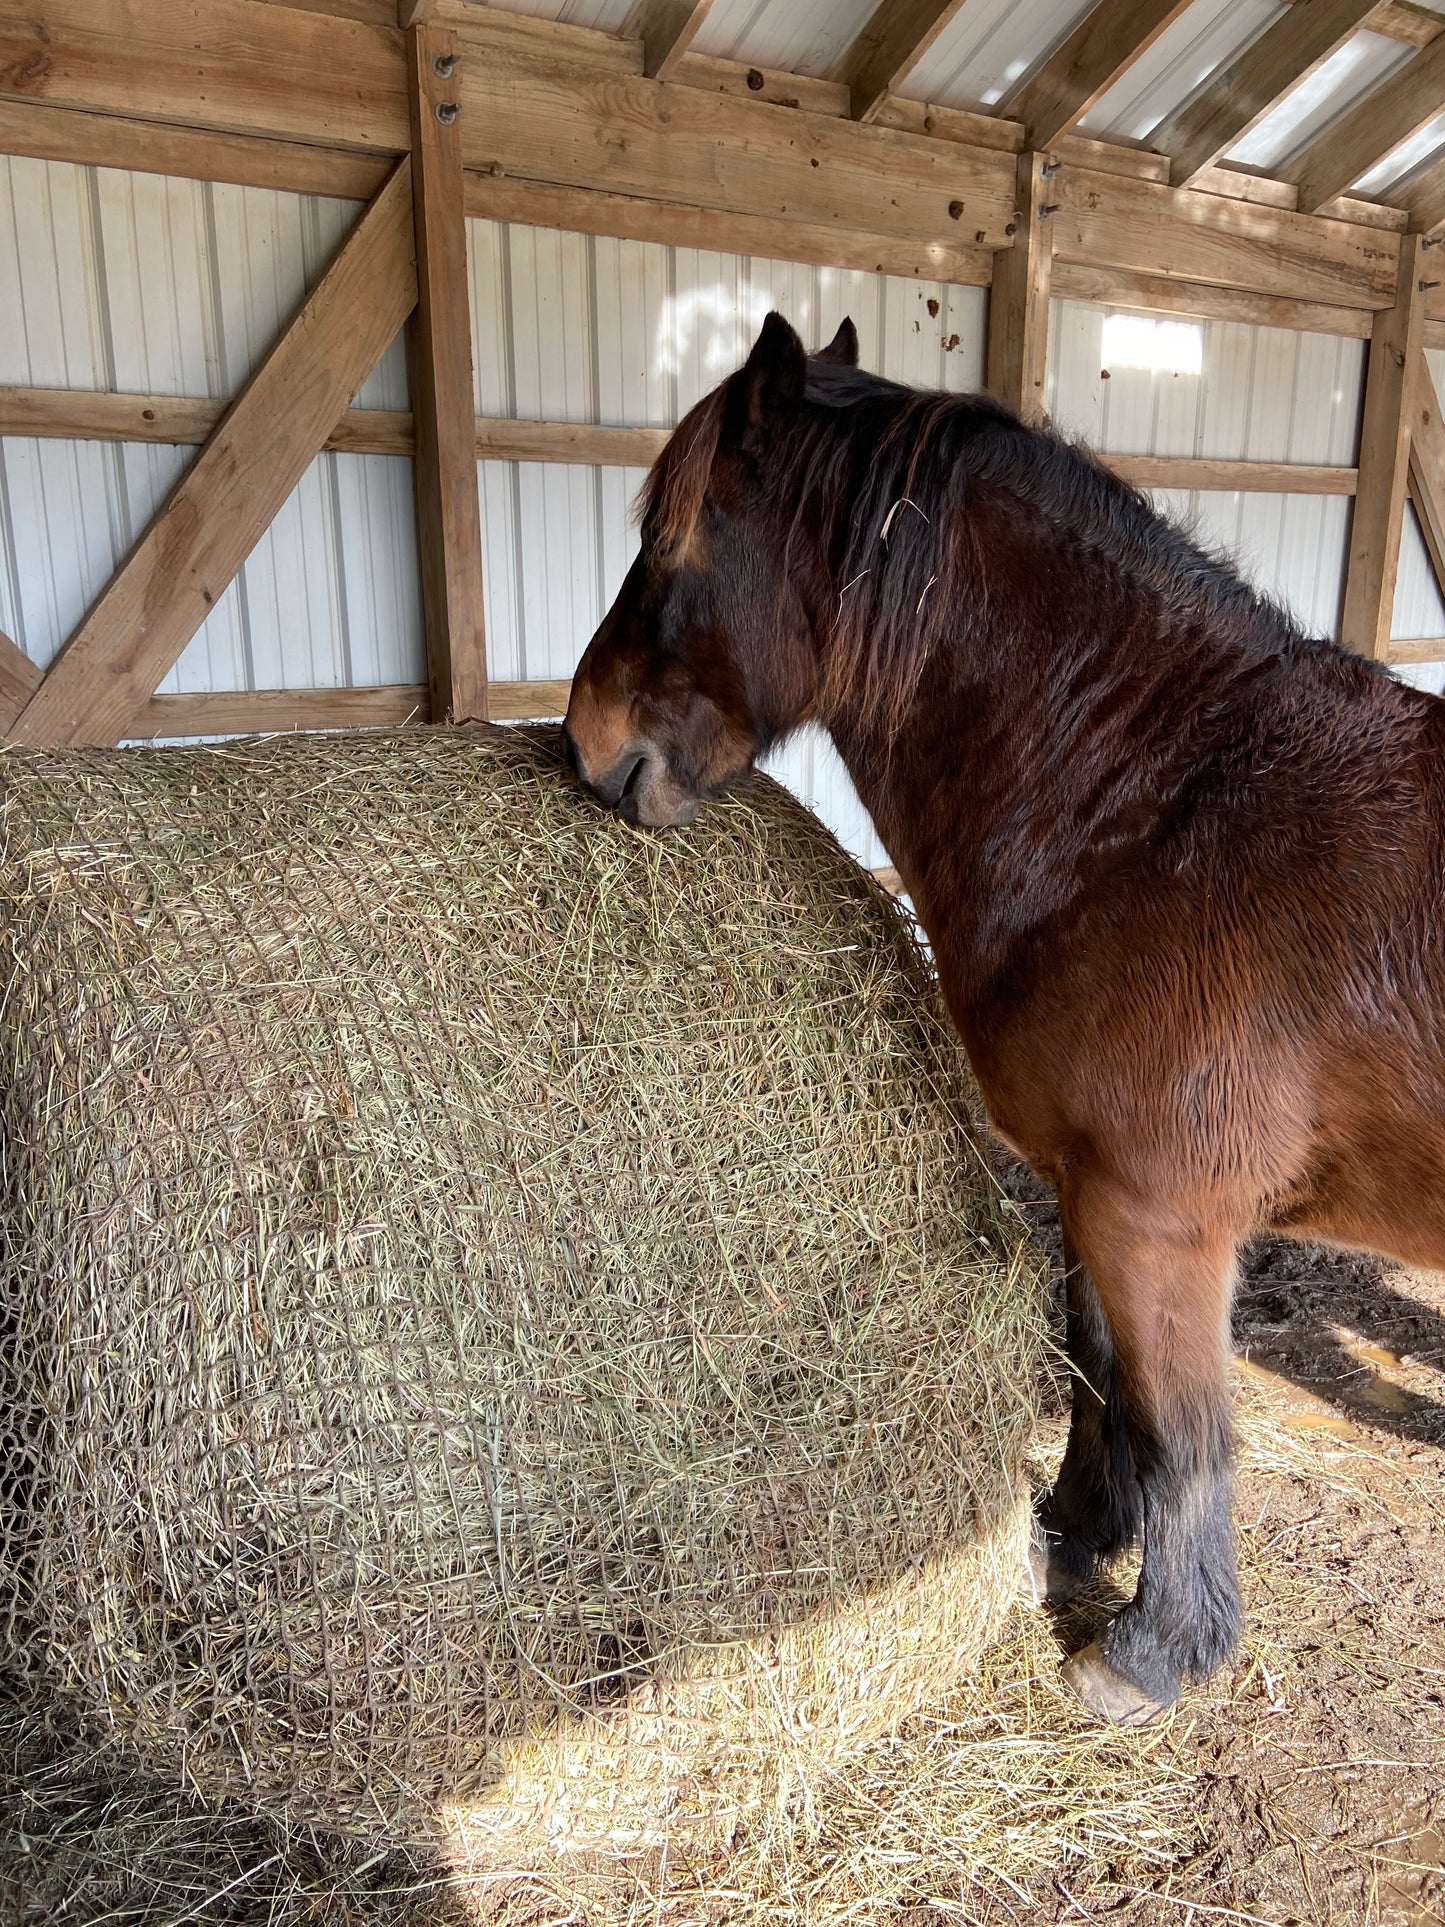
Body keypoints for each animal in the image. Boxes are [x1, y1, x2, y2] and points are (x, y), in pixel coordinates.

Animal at [562, 308, 1445, 1726]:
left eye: (677, 536)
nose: (585, 745)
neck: (1154, 813)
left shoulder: (1159, 1217)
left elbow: (1183, 1433)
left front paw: (1152, 1651)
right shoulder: (1088, 1195)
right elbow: (1096, 1371)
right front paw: (1077, 1529)